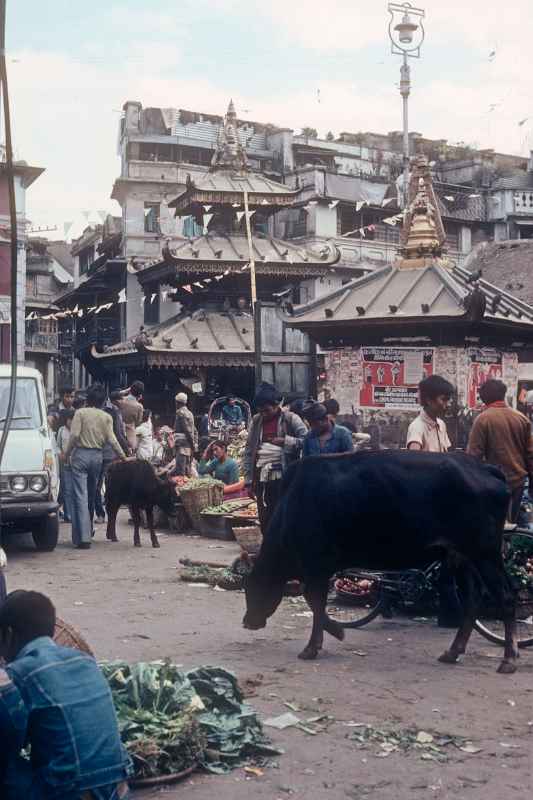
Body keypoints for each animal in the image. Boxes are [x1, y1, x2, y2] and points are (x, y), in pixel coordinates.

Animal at [243, 454, 516, 672]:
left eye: (251, 588)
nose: (247, 622)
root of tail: (485, 468)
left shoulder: (316, 565)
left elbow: (315, 603)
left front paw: (314, 646)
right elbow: (315, 603)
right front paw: (336, 631)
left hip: (484, 554)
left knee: (505, 596)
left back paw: (509, 659)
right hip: (462, 558)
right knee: (472, 599)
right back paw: (453, 651)